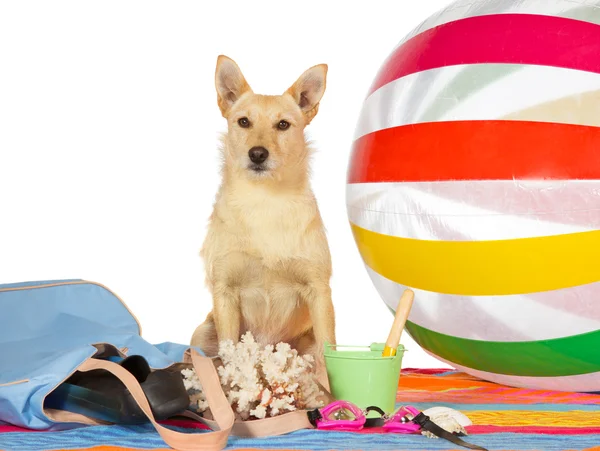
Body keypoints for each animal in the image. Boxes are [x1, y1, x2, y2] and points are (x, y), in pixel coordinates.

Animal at [191, 54, 336, 384]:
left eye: (283, 125)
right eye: (244, 121)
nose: (258, 154)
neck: (265, 200)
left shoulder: (318, 289)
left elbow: (328, 351)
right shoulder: (225, 291)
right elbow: (230, 350)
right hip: (202, 332)